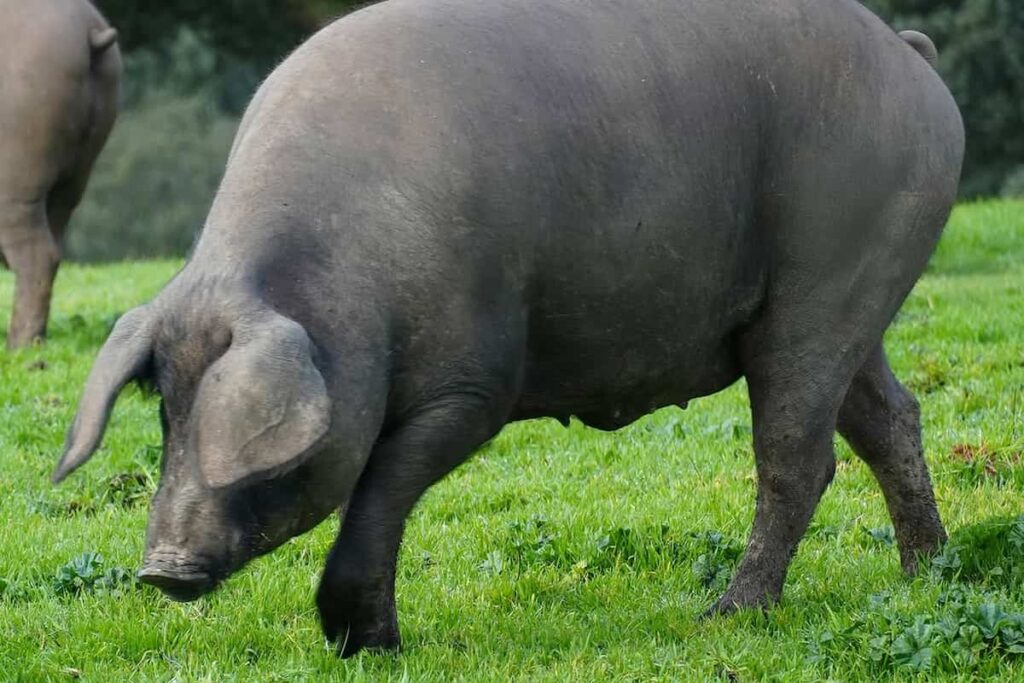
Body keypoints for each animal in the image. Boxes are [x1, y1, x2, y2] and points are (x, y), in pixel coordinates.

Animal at [0, 0, 121, 348]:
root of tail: (89, 30)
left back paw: (20, 346)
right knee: (55, 238)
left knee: (37, 255)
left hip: (16, 174)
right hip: (75, 175)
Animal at [53, 0, 963, 657]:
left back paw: (725, 616)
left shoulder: (476, 381)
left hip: (828, 276)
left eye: (224, 420)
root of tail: (908, 52)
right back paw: (925, 576)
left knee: (799, 457)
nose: (161, 568)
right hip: (850, 298)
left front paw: (367, 645)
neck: (352, 283)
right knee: (893, 417)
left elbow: (383, 488)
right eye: (166, 413)